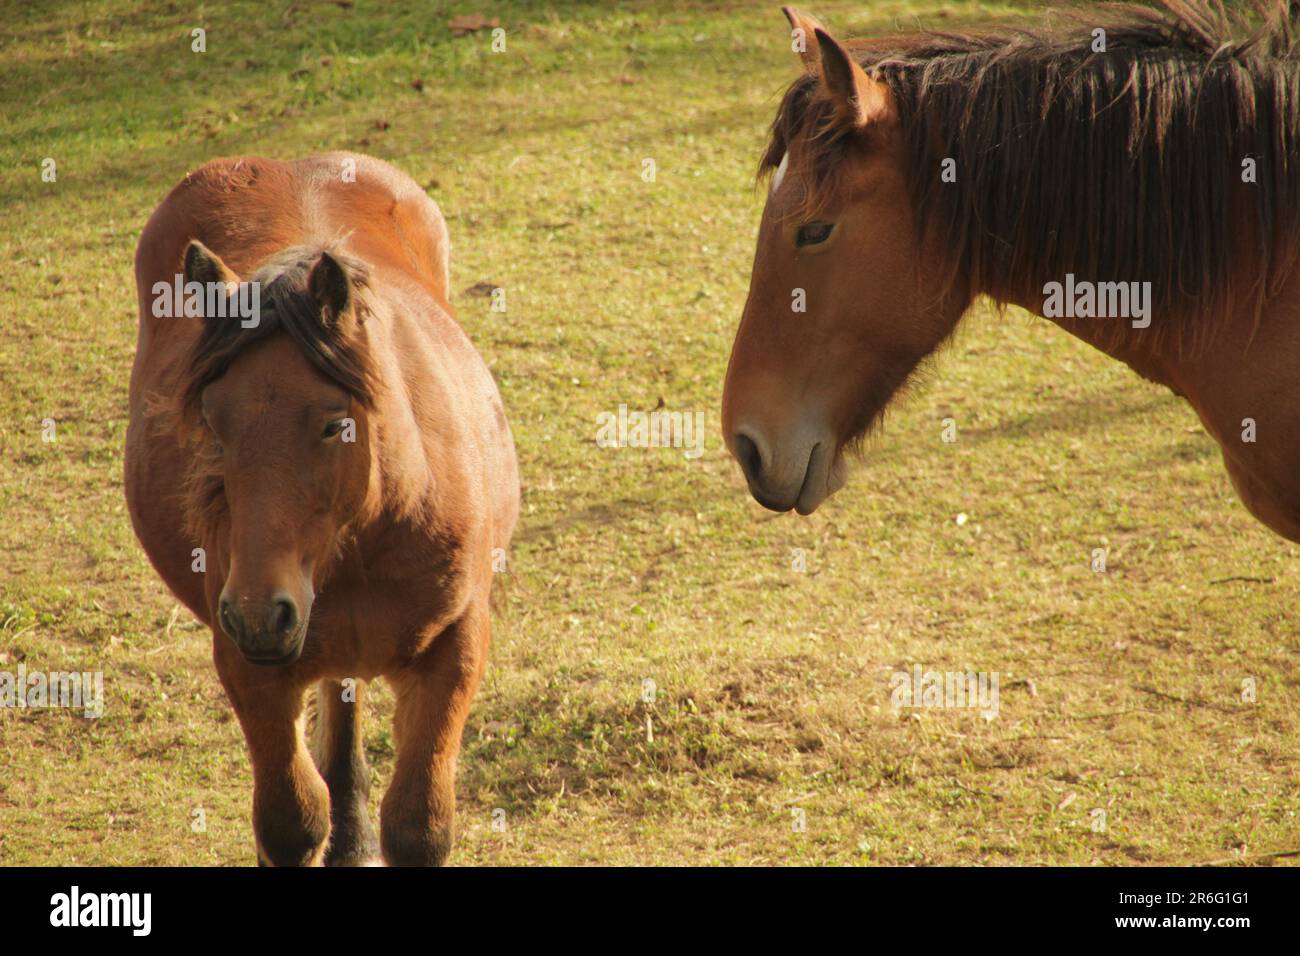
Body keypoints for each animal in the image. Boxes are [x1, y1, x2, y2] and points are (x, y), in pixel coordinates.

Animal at [125, 153, 519, 866]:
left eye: (337, 425)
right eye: (211, 423)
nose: (260, 613)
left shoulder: (456, 646)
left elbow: (419, 825)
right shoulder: (248, 663)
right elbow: (291, 820)